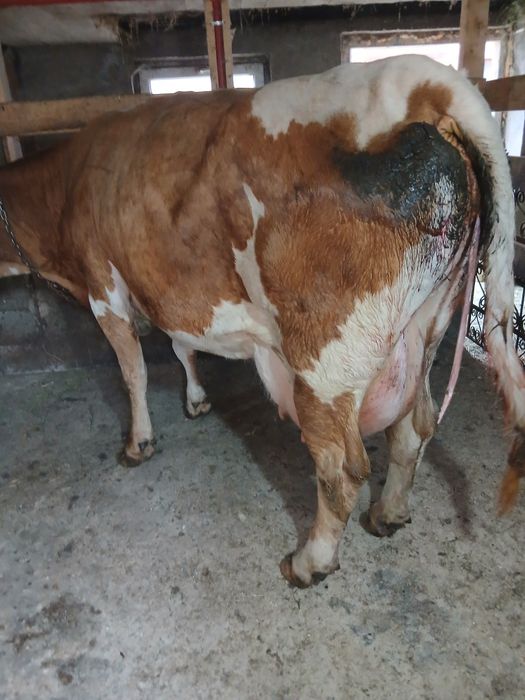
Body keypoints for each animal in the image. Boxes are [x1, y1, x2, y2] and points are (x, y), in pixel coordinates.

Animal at [0, 55, 523, 588]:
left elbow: (134, 372)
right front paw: (196, 399)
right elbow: (182, 345)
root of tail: (425, 78)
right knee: (413, 427)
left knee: (340, 467)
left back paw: (309, 562)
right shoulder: (171, 290)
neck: (65, 184)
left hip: (324, 363)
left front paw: (138, 442)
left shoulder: (103, 284)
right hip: (425, 328)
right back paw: (388, 514)